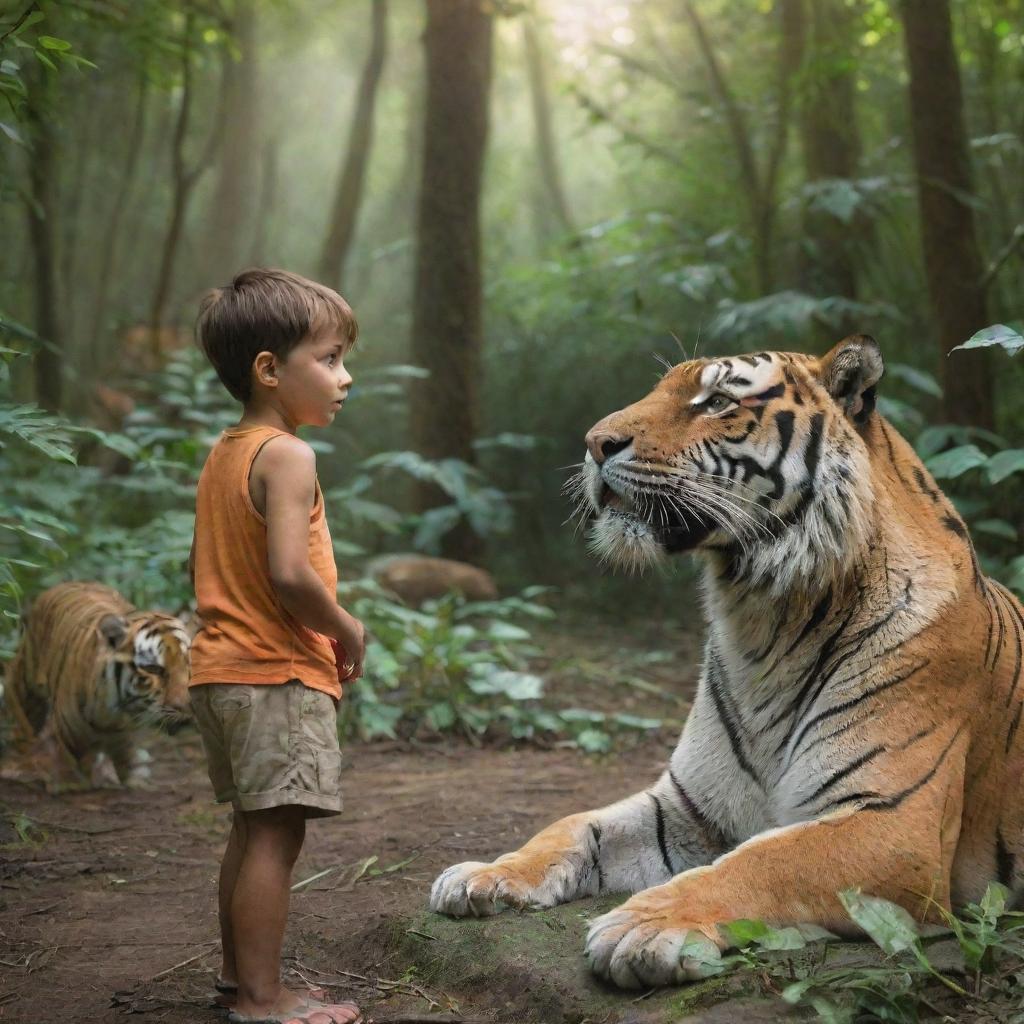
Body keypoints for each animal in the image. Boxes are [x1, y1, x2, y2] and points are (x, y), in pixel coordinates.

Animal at [3, 585, 192, 790]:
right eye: (153, 668)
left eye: (189, 663)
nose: (187, 706)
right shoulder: (71, 731)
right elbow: (73, 758)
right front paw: (72, 783)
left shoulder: (124, 734)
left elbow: (126, 755)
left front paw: (135, 780)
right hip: (26, 689)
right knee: (23, 728)